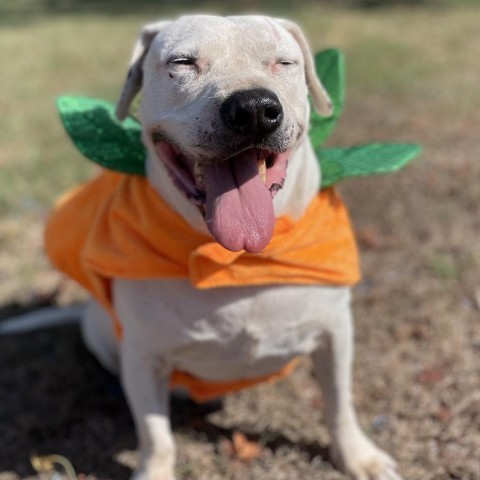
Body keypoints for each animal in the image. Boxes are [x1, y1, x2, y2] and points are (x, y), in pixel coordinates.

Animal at [47, 15, 404, 480]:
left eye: (283, 62)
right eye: (181, 62)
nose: (252, 108)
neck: (236, 261)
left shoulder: (335, 332)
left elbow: (339, 402)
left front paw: (358, 456)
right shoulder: (143, 356)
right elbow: (155, 436)